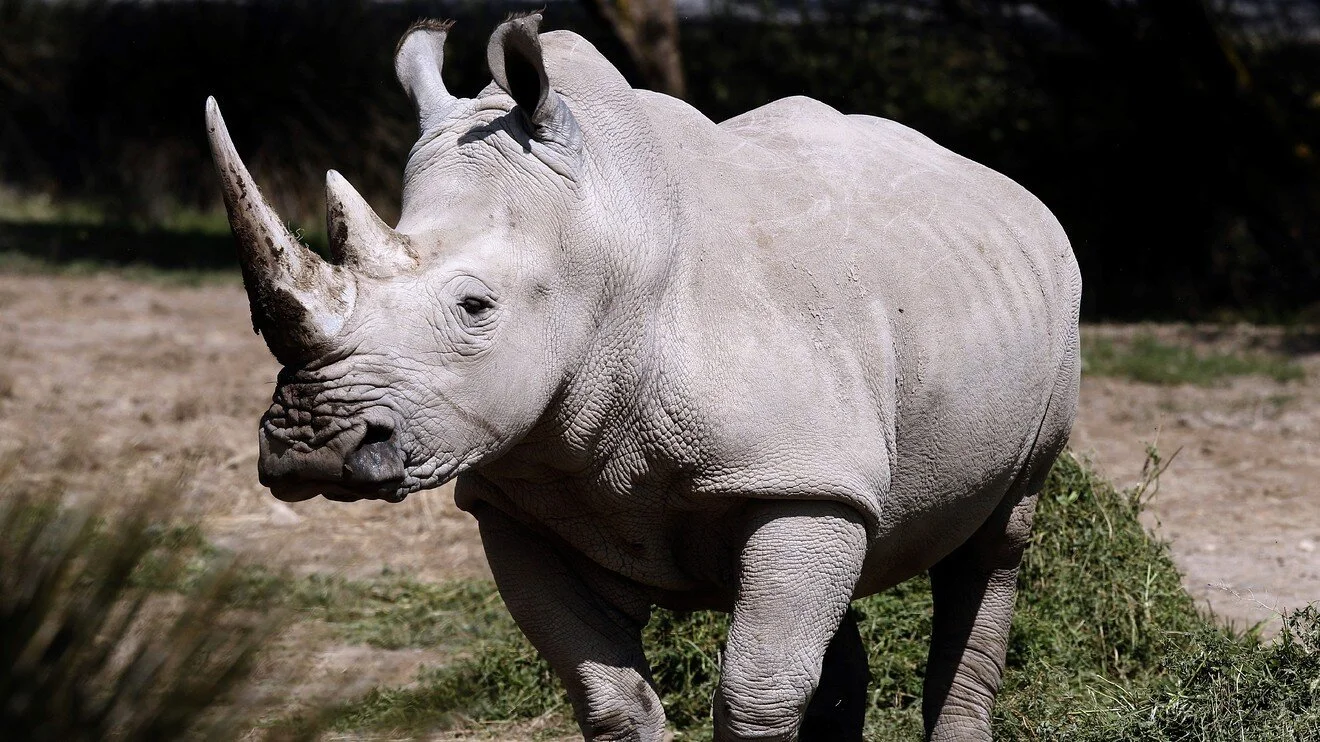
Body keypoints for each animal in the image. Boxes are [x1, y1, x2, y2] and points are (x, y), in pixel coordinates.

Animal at [205, 13, 1080, 741]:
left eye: (475, 307)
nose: (311, 446)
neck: (605, 241)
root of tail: (1001, 184)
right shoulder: (518, 500)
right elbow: (610, 696)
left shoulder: (800, 476)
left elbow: (757, 693)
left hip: (1050, 308)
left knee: (996, 542)